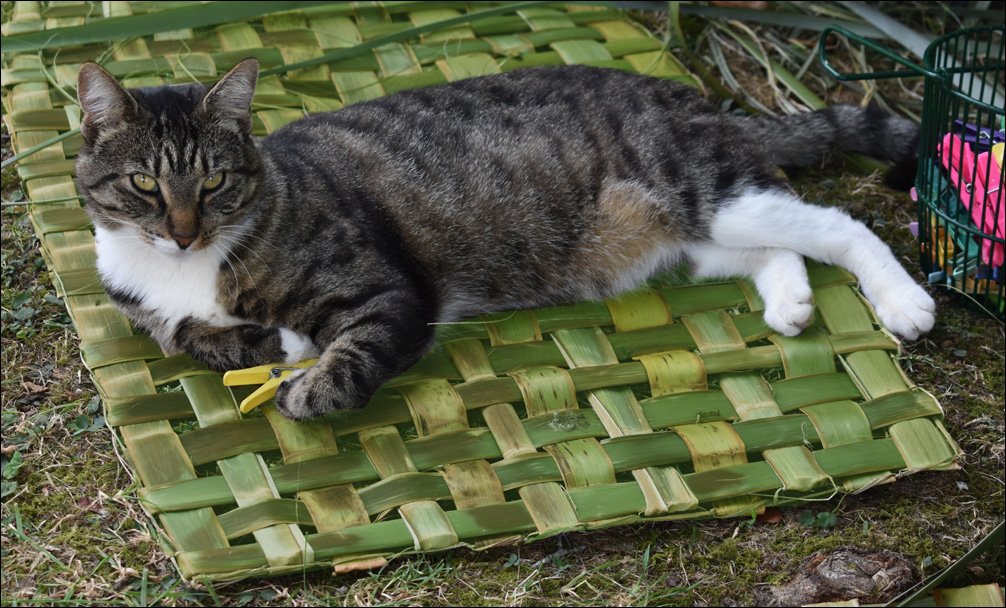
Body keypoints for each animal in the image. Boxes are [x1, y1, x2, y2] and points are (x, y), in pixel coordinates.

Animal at [76, 58, 933, 418]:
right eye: (145, 186)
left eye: (214, 183)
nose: (182, 234)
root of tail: (703, 102)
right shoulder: (149, 309)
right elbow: (193, 337)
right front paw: (255, 342)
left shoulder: (391, 292)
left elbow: (353, 353)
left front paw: (306, 385)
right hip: (693, 236)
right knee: (778, 245)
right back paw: (790, 304)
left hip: (705, 195)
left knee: (839, 223)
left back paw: (904, 303)